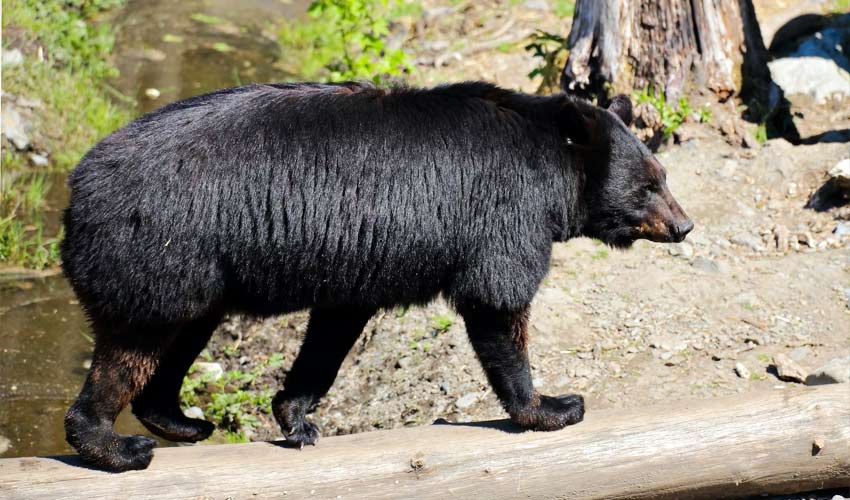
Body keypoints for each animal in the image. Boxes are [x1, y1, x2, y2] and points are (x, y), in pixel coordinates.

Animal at [64, 80, 688, 470]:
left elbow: (333, 329)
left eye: (662, 176)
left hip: (198, 268)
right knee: (134, 344)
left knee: (184, 333)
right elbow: (497, 302)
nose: (684, 225)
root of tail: (77, 190)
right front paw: (552, 406)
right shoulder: (503, 214)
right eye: (648, 185)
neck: (552, 170)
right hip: (159, 248)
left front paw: (295, 415)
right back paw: (114, 446)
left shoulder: (362, 258)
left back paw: (178, 419)